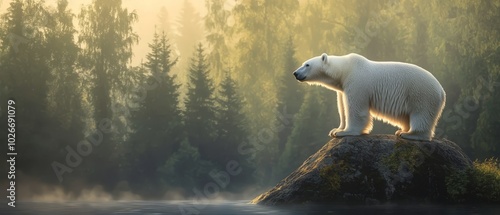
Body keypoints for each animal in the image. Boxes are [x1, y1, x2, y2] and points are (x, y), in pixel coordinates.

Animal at [292, 53, 446, 141]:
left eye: (307, 64)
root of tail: (442, 91)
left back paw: (410, 134)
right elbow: (342, 107)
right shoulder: (342, 88)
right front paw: (336, 130)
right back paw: (402, 130)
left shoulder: (357, 82)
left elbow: (355, 109)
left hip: (421, 94)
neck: (345, 70)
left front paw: (346, 132)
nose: (295, 73)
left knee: (421, 115)